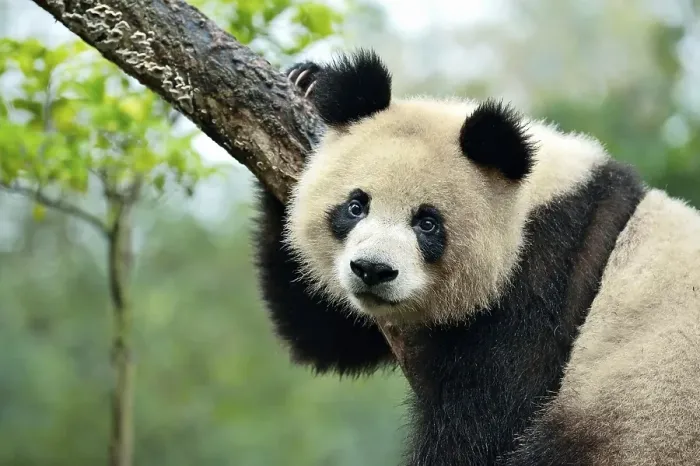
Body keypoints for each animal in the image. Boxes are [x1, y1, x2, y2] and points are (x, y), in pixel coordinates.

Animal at [252, 49, 700, 465]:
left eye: (428, 223)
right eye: (356, 206)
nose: (373, 271)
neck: (530, 201)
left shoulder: (549, 273)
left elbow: (487, 419)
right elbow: (327, 334)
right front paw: (307, 78)